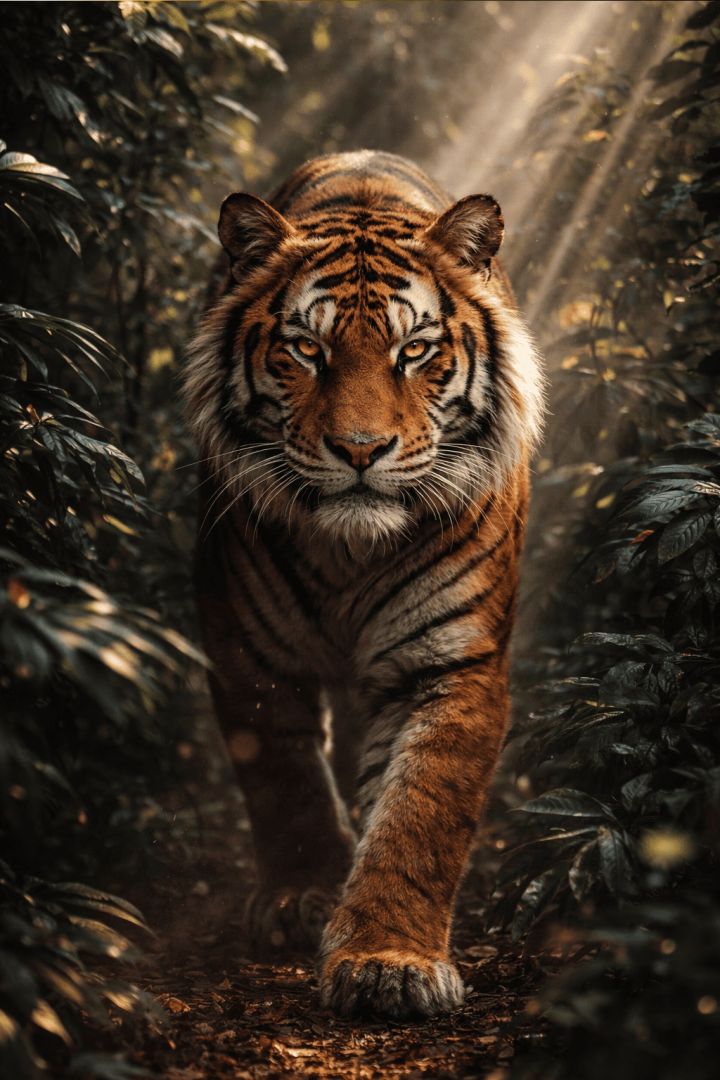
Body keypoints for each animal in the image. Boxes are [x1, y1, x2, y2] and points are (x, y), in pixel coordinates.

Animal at [183, 150, 545, 1019]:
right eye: (306, 351)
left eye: (413, 351)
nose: (359, 449)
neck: (353, 551)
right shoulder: (243, 647)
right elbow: (282, 779)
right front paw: (303, 895)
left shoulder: (451, 663)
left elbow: (419, 814)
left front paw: (390, 961)